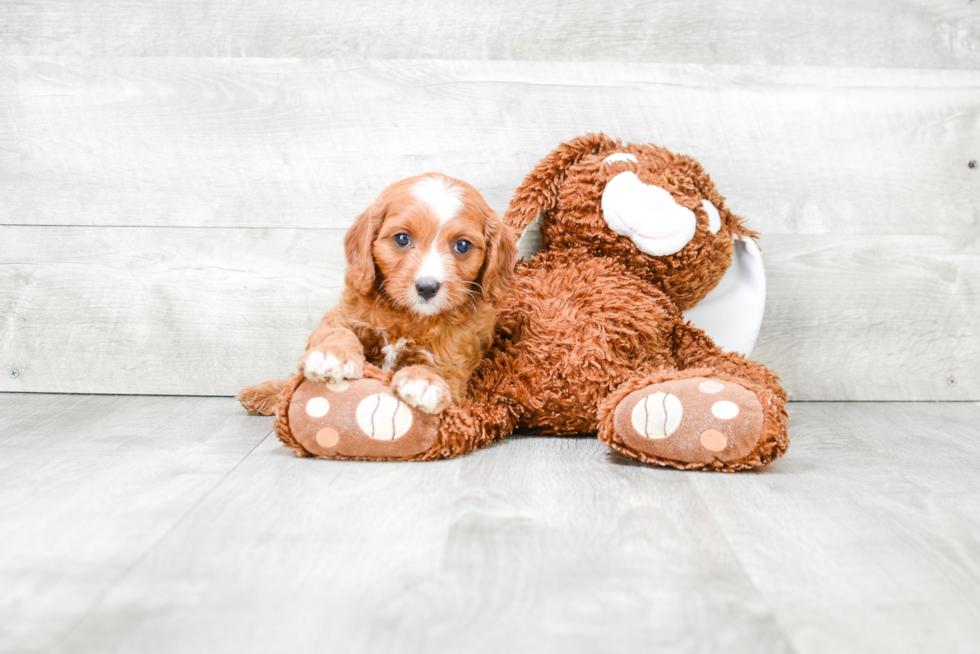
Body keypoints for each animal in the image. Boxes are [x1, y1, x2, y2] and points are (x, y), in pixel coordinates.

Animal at [236, 174, 516, 418]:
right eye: (402, 239)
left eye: (463, 245)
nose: (427, 287)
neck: (408, 316)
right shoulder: (343, 314)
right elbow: (336, 332)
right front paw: (332, 355)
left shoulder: (458, 349)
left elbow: (443, 369)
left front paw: (424, 380)